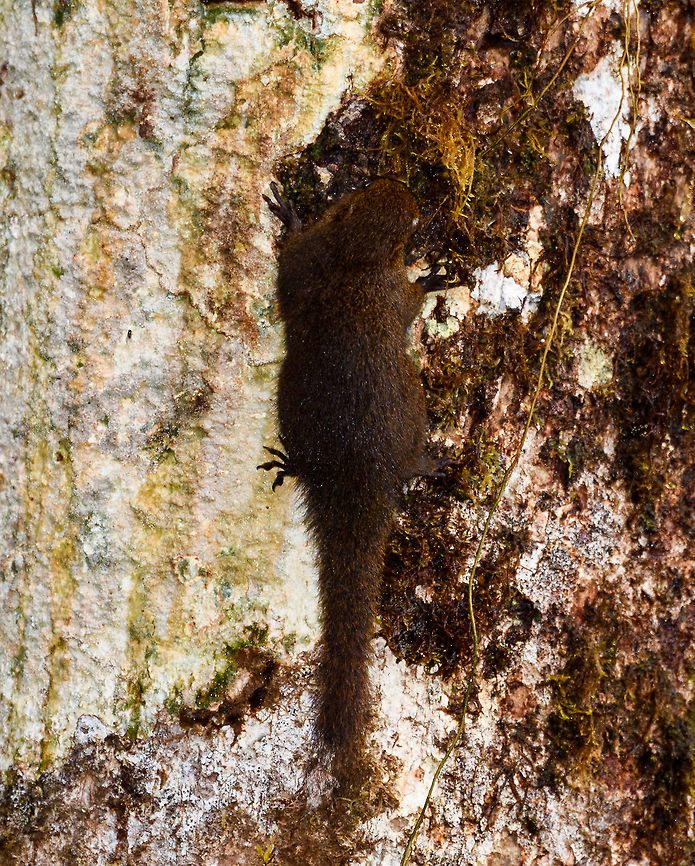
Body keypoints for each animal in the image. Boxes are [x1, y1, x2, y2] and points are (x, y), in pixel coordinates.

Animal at [260, 178, 441, 785]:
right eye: (406, 216)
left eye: (363, 194)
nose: (409, 191)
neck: (353, 257)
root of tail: (357, 476)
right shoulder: (378, 286)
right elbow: (410, 301)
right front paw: (430, 277)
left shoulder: (307, 261)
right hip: (408, 409)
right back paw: (423, 463)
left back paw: (292, 464)